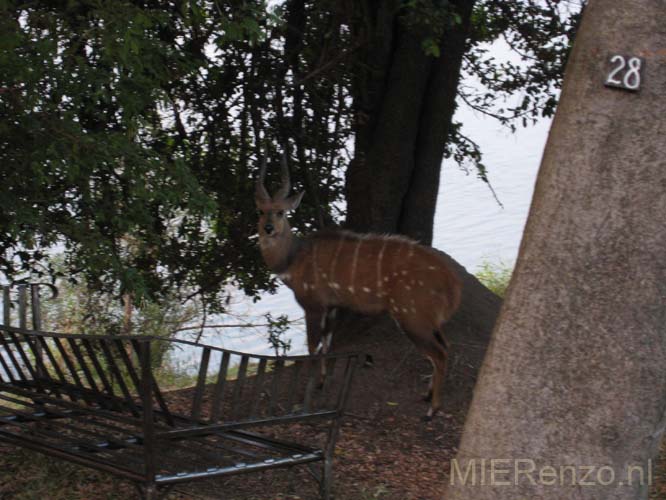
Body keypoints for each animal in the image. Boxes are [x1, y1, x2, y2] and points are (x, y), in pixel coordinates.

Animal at [254, 153, 462, 418]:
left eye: (280, 212)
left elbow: (312, 346)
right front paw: (322, 381)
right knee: (445, 346)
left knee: (439, 353)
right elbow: (327, 344)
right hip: (427, 320)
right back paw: (426, 396)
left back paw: (432, 410)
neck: (294, 258)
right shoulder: (332, 307)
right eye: (261, 211)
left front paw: (309, 391)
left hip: (412, 317)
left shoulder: (313, 305)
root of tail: (453, 284)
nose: (268, 228)